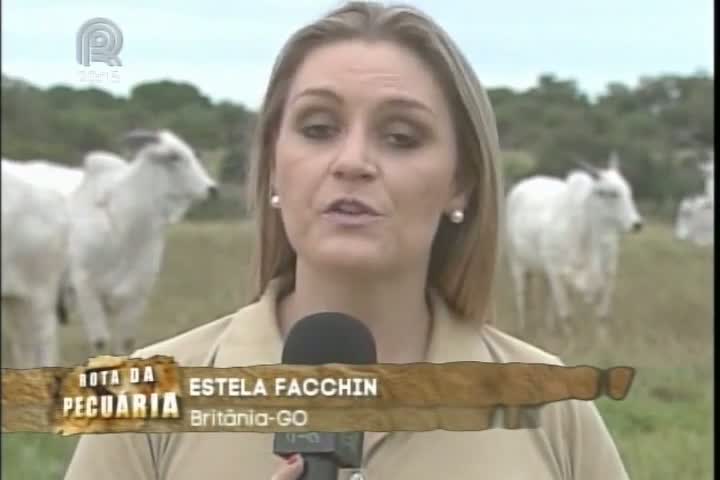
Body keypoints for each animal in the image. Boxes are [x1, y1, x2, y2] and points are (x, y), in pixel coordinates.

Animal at [62, 129, 218, 354]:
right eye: (173, 156)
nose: (212, 189)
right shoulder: (87, 290)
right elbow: (100, 342)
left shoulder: (137, 295)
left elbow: (126, 344)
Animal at [504, 155, 644, 334]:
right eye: (610, 193)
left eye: (629, 191)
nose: (637, 224)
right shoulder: (557, 273)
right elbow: (566, 315)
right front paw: (569, 337)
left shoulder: (609, 275)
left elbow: (602, 316)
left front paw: (602, 340)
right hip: (517, 262)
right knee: (521, 296)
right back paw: (523, 327)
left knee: (546, 298)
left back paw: (548, 328)